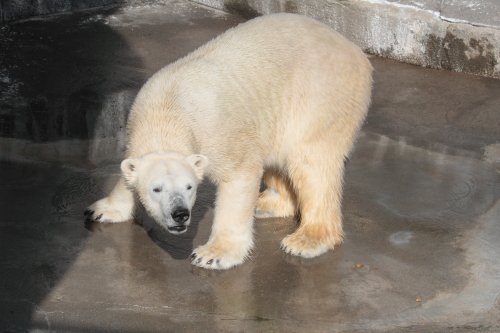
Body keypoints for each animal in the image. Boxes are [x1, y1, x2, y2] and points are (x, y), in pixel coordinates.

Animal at [85, 13, 372, 270]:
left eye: (189, 187)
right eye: (156, 189)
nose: (180, 214)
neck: (167, 111)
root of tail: (357, 52)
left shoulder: (218, 133)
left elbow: (239, 176)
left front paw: (213, 254)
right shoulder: (135, 126)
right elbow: (128, 173)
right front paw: (101, 209)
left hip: (320, 96)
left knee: (311, 163)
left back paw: (307, 238)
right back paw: (267, 202)